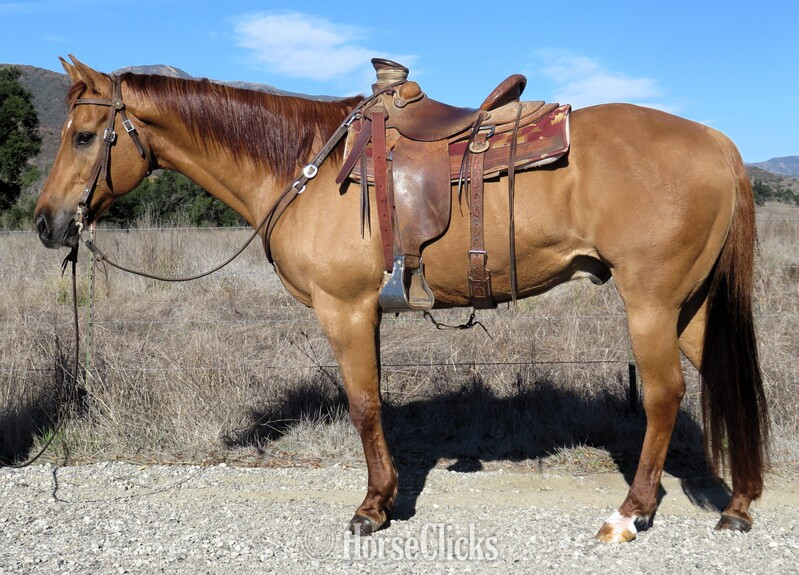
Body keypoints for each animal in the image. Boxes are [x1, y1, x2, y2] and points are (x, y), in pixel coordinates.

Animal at [34, 56, 768, 543]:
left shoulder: (344, 309)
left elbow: (363, 405)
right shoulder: (369, 314)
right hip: (691, 306)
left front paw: (371, 507)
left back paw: (630, 511)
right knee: (717, 380)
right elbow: (376, 402)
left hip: (651, 302)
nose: (45, 223)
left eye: (82, 136)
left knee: (663, 394)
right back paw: (738, 504)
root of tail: (716, 140)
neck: (306, 166)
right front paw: (385, 496)